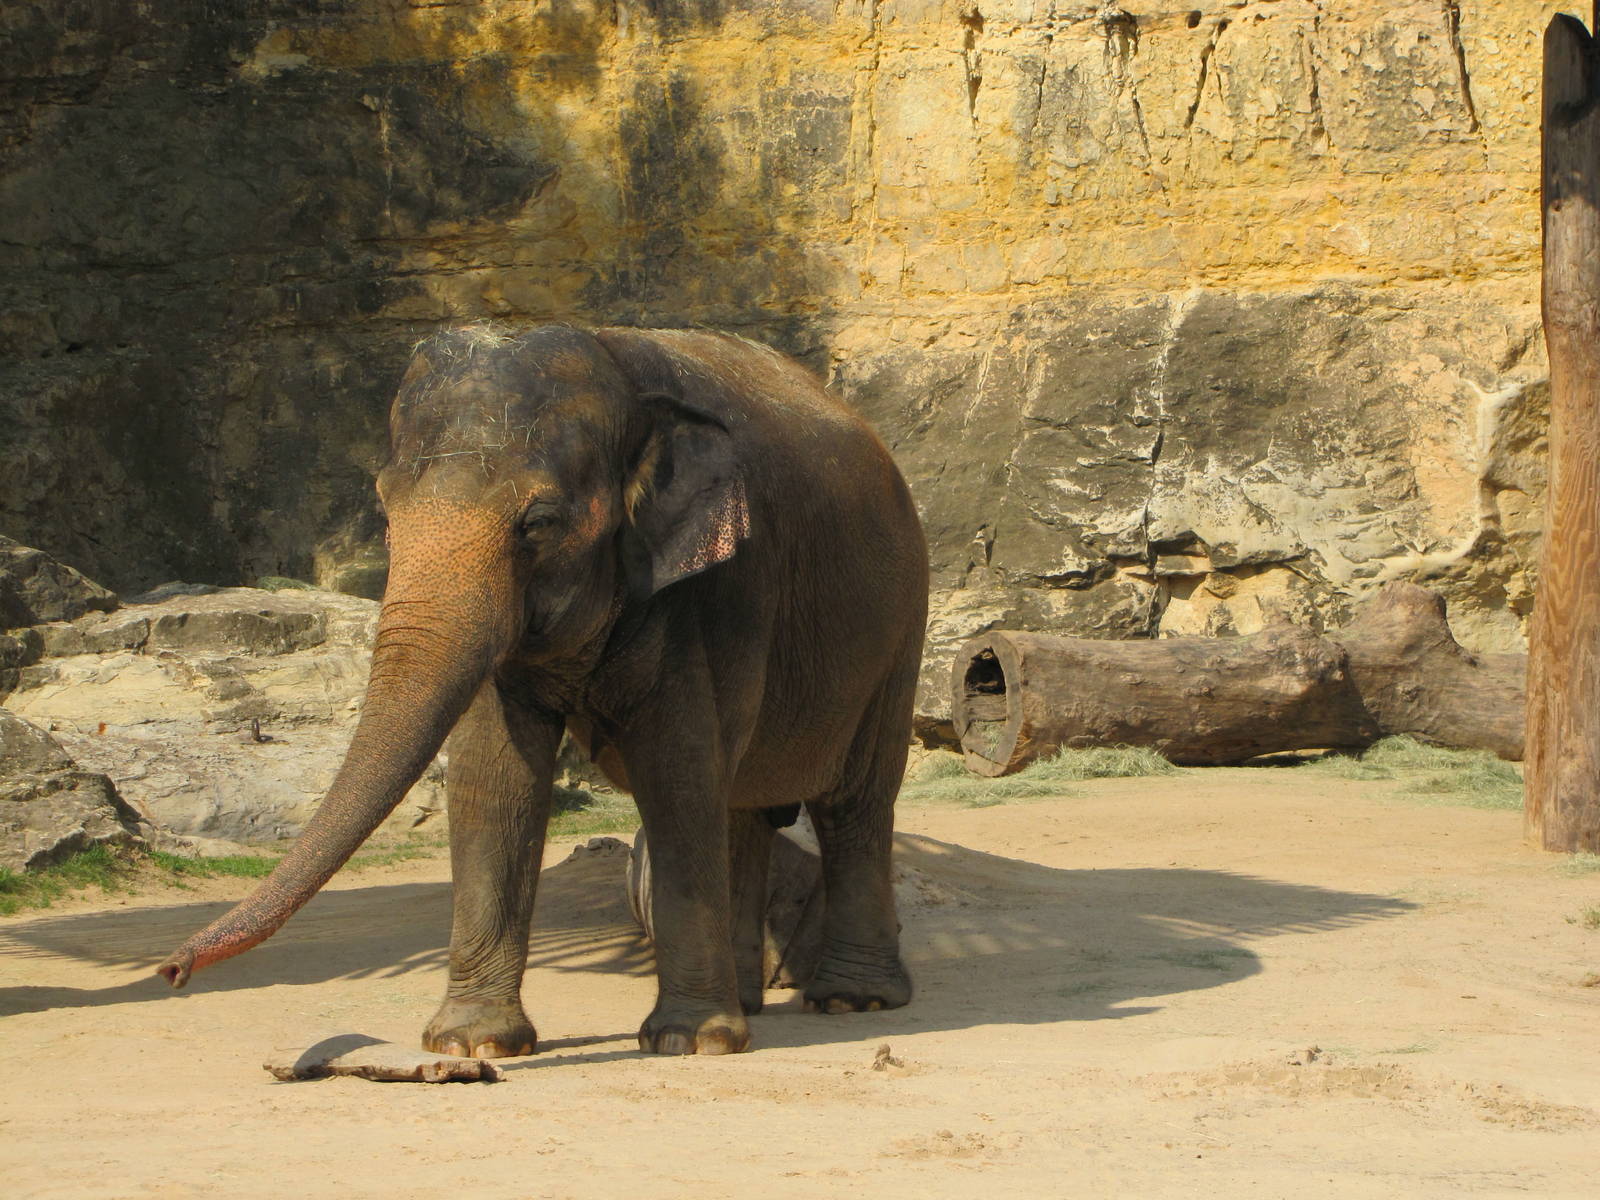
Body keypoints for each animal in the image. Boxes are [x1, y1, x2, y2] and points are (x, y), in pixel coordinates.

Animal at [157, 324, 929, 1058]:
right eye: (385, 512)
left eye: (538, 524)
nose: (170, 971)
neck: (617, 368)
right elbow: (494, 777)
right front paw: (472, 1042)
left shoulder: (713, 591)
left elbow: (677, 774)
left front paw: (689, 1042)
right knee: (741, 806)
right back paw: (750, 1000)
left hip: (899, 628)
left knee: (853, 803)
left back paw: (851, 1001)